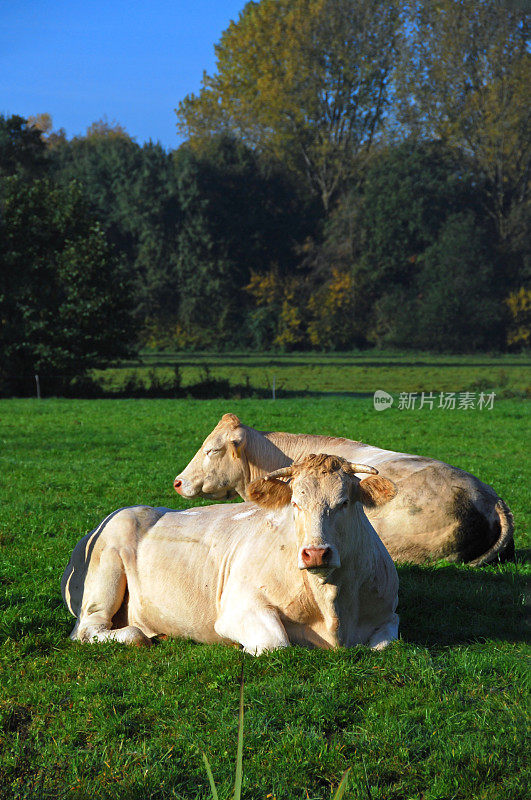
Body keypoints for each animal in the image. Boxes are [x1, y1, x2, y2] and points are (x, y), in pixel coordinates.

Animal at [61, 454, 400, 652]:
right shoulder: (237, 608)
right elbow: (275, 643)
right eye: (295, 503)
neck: (332, 607)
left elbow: (382, 645)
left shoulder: (389, 612)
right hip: (103, 575)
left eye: (345, 502)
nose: (316, 553)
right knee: (92, 630)